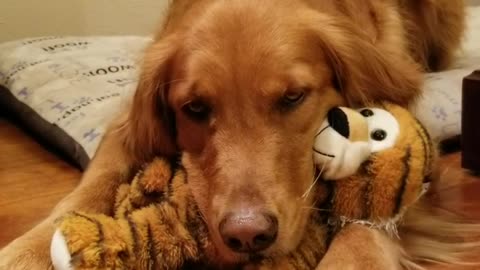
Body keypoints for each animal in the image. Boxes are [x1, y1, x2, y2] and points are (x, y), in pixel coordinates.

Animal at [0, 0, 466, 268]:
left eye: (293, 97)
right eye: (195, 108)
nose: (247, 235)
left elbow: (369, 216)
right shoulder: (127, 122)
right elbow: (94, 181)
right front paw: (31, 250)